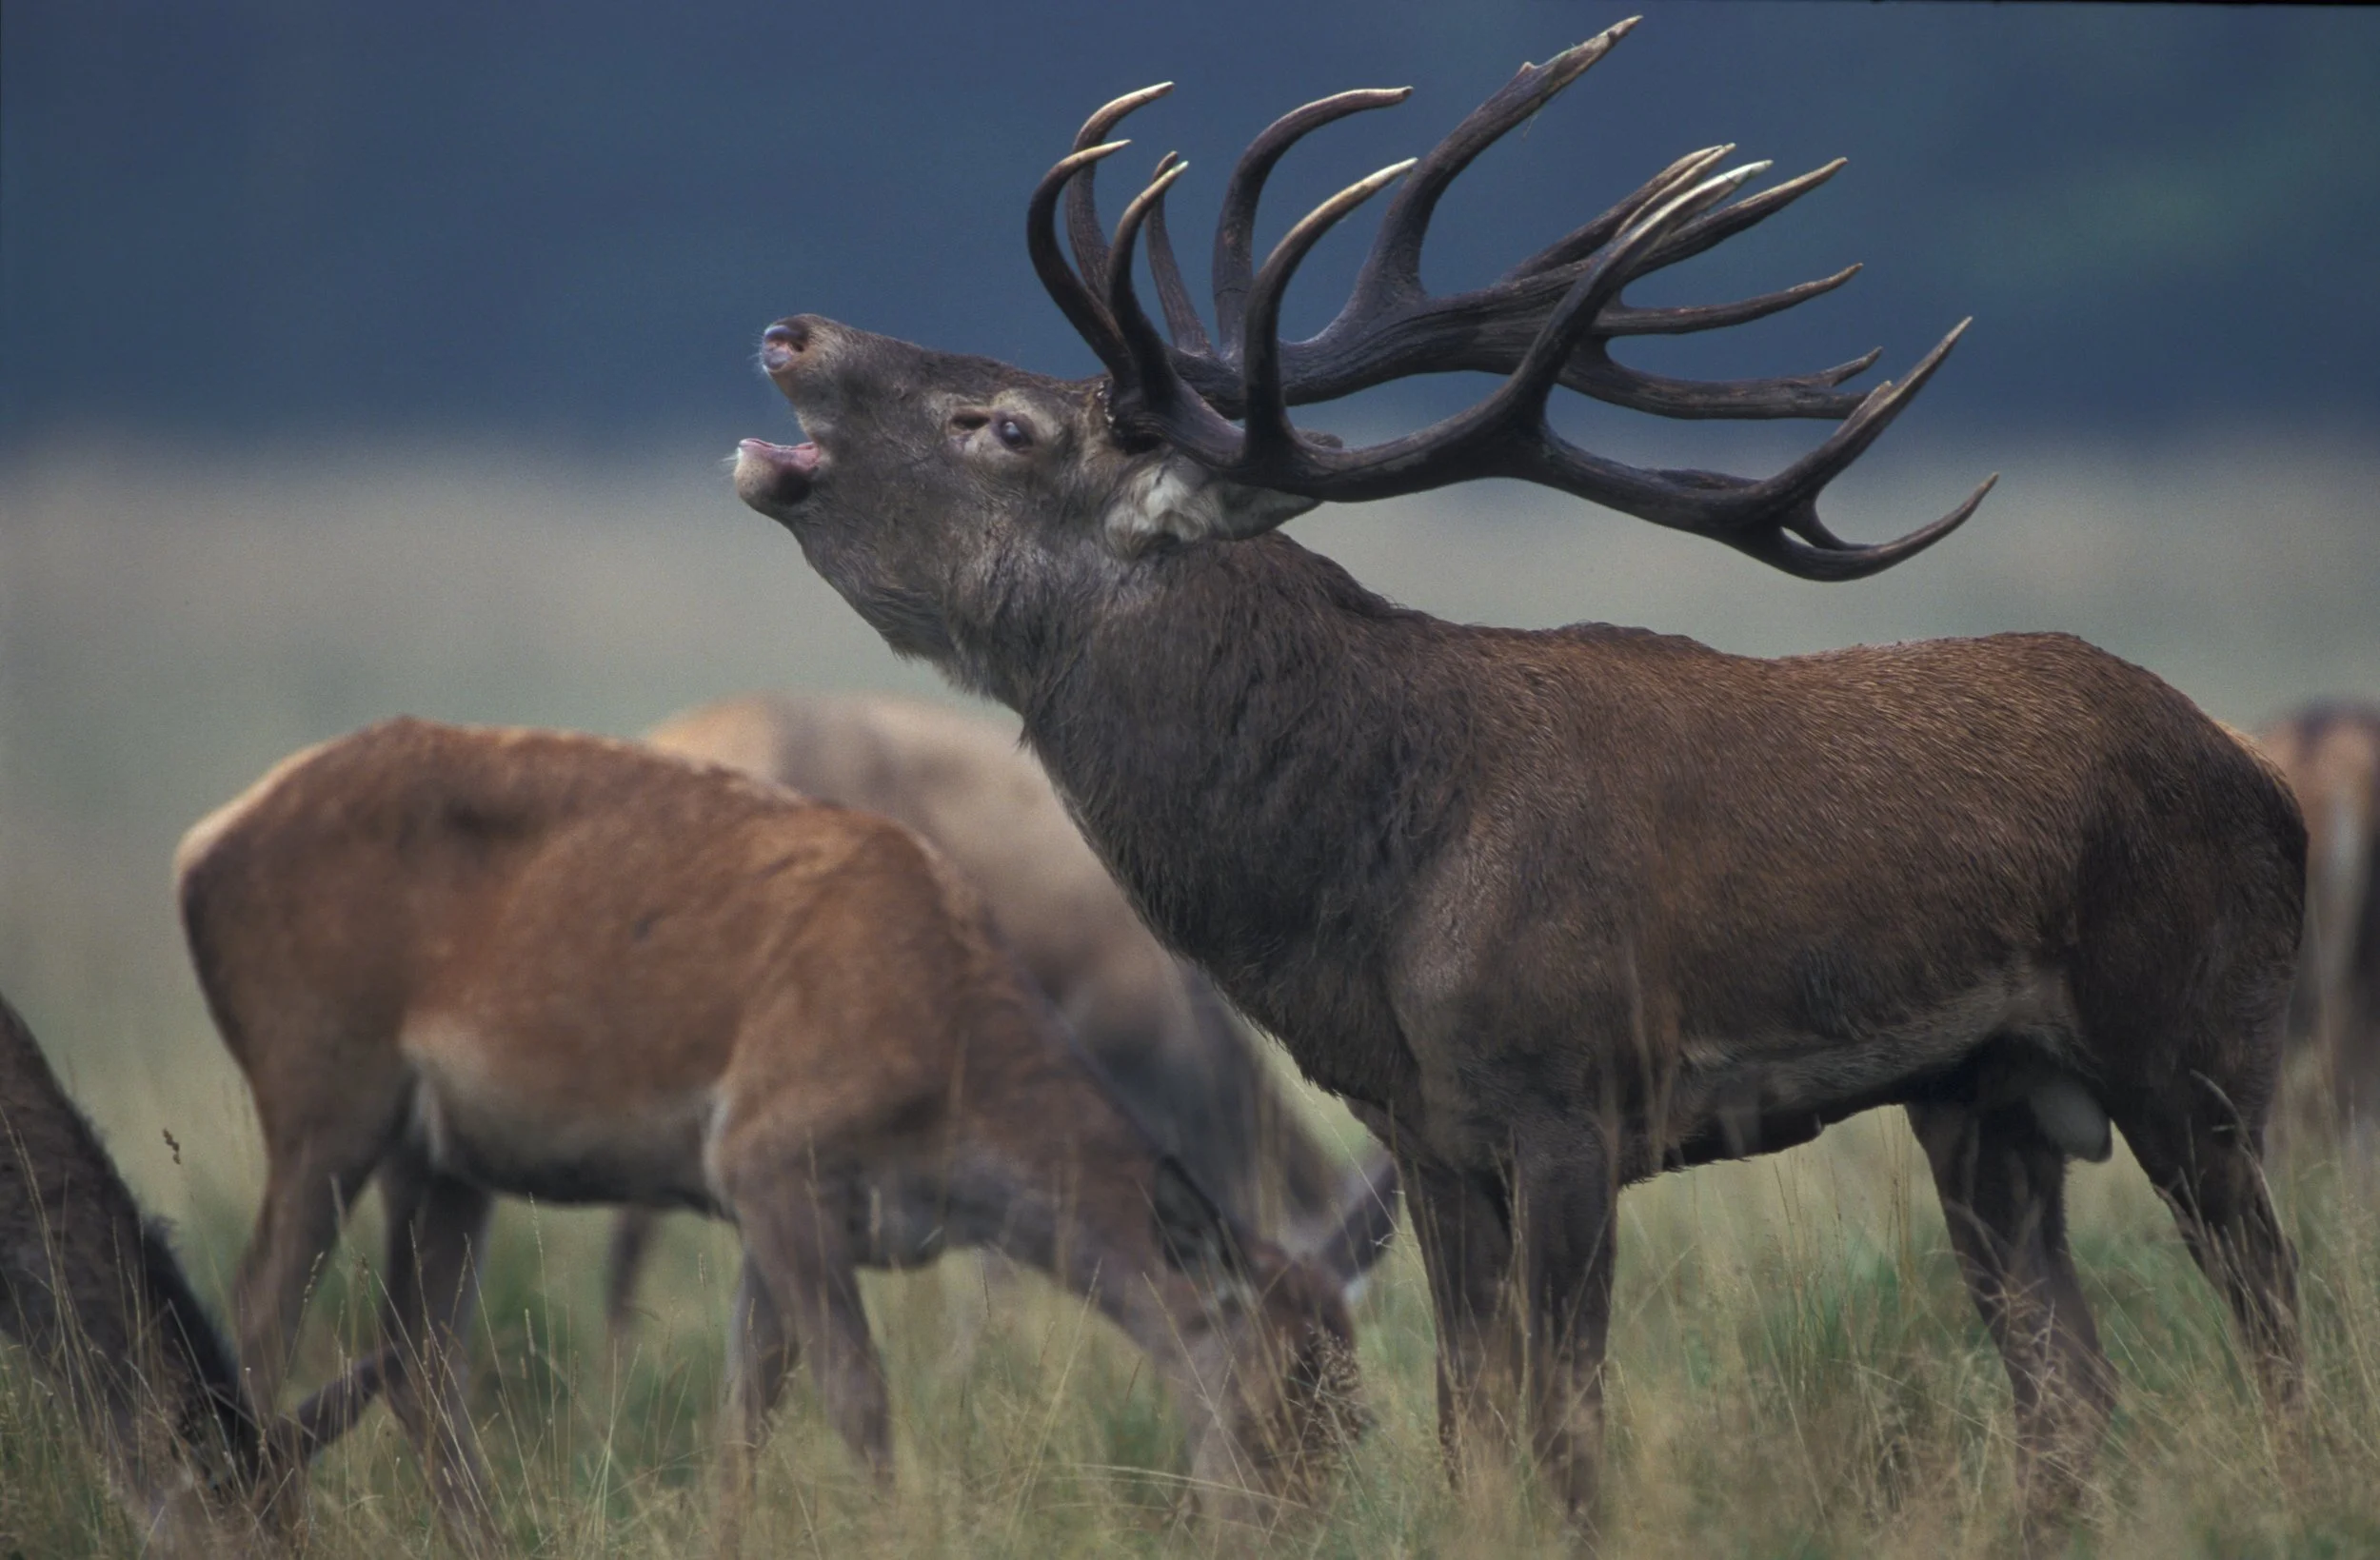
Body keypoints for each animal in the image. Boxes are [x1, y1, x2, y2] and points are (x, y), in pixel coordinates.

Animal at [724, 16, 2307, 1527]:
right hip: (1983, 1098)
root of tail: (2272, 789)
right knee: (2071, 1383)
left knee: (2275, 1320)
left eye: (1004, 424)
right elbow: (1468, 1421)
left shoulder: (1572, 1097)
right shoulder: (1431, 1136)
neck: (1367, 901)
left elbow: (1564, 1427)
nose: (791, 329)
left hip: (2195, 1040)